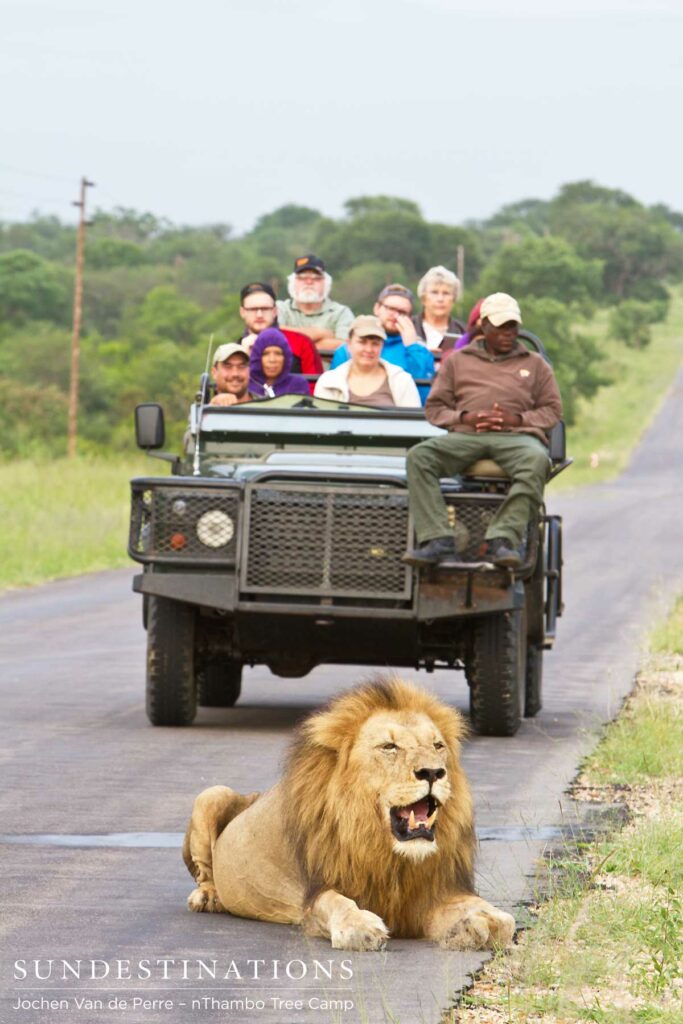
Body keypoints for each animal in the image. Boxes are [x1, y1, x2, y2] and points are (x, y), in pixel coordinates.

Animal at [182, 676, 515, 951]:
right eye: (389, 747)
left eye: (437, 746)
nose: (433, 772)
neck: (388, 852)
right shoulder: (316, 892)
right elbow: (338, 902)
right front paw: (361, 927)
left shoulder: (431, 893)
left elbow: (501, 920)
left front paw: (479, 922)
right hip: (211, 794)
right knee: (204, 872)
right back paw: (208, 897)